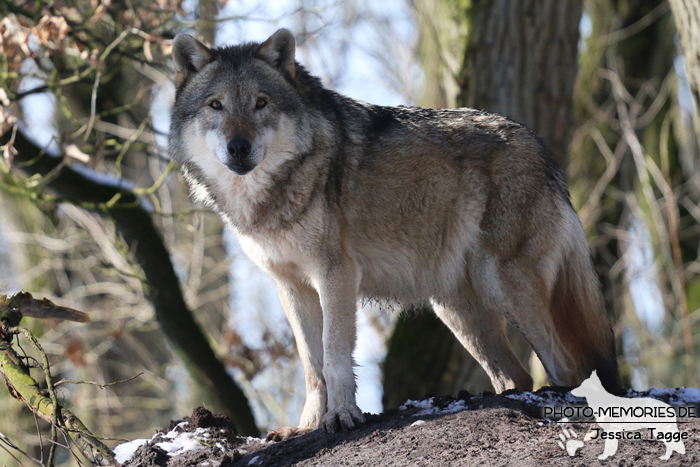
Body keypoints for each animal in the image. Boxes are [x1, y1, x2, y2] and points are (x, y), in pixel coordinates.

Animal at [168, 29, 616, 436]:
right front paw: (307, 426)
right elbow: (311, 364)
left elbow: (334, 355)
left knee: (566, 366)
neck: (274, 193)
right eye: (215, 105)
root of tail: (542, 149)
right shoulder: (290, 285)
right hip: (457, 309)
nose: (238, 147)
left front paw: (342, 418)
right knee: (516, 376)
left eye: (261, 103)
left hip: (504, 285)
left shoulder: (336, 275)